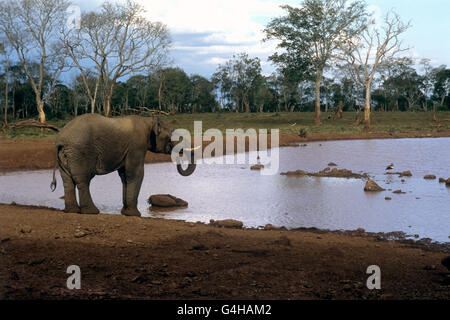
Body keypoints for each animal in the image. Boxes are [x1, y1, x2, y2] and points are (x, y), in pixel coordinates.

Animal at [50, 114, 196, 216]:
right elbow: (135, 173)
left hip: (66, 155)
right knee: (83, 179)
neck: (148, 121)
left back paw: (72, 211)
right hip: (80, 153)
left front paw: (125, 213)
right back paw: (91, 212)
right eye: (173, 136)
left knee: (67, 180)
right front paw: (135, 215)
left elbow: (124, 175)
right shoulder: (136, 145)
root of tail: (60, 139)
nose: (179, 155)